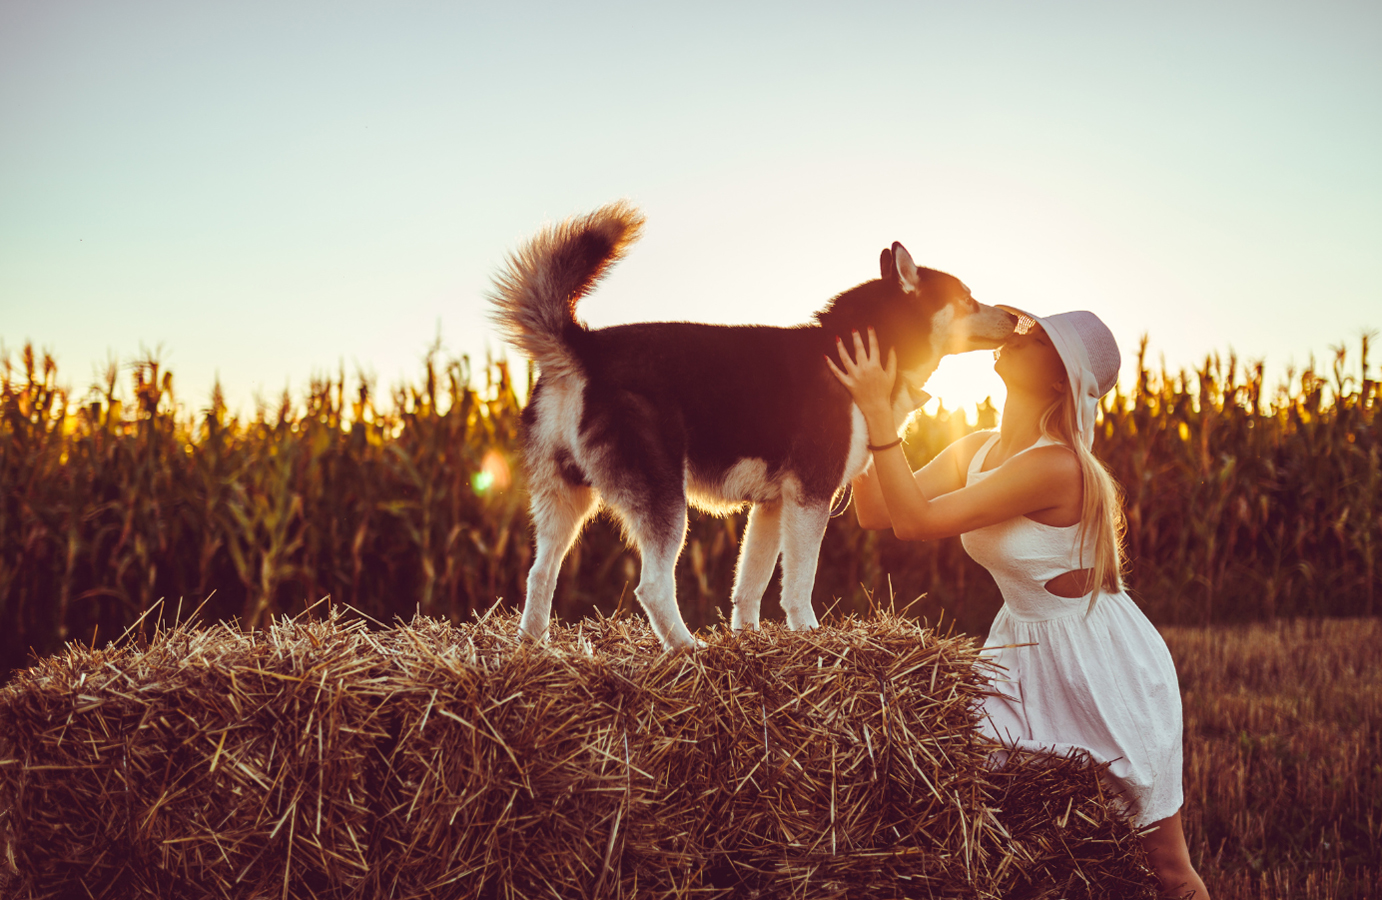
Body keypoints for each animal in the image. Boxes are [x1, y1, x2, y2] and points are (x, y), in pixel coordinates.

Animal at [489, 200, 1017, 652]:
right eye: (968, 299)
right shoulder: (810, 497)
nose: (1014, 319)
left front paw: (749, 639)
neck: (860, 346)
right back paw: (688, 648)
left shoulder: (771, 505)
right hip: (665, 502)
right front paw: (807, 634)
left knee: (540, 574)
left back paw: (534, 646)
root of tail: (587, 349)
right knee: (652, 587)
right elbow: (799, 583)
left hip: (565, 502)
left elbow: (750, 585)